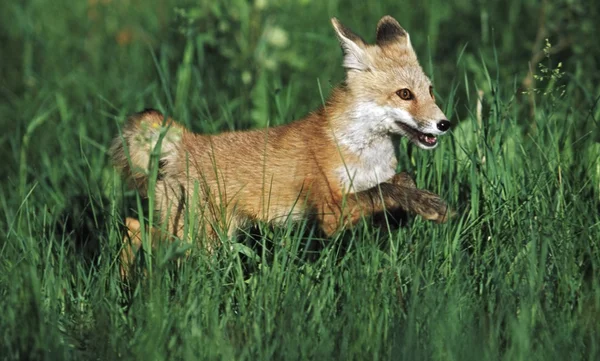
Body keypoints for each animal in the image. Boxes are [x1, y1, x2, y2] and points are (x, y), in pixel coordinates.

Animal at [111, 15, 450, 272]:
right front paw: (426, 204)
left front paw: (416, 202)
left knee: (134, 225)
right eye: (405, 94)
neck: (364, 153)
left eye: (431, 91)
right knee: (135, 228)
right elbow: (384, 190)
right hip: (195, 237)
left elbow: (397, 184)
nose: (444, 124)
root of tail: (186, 142)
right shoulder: (330, 211)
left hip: (205, 234)